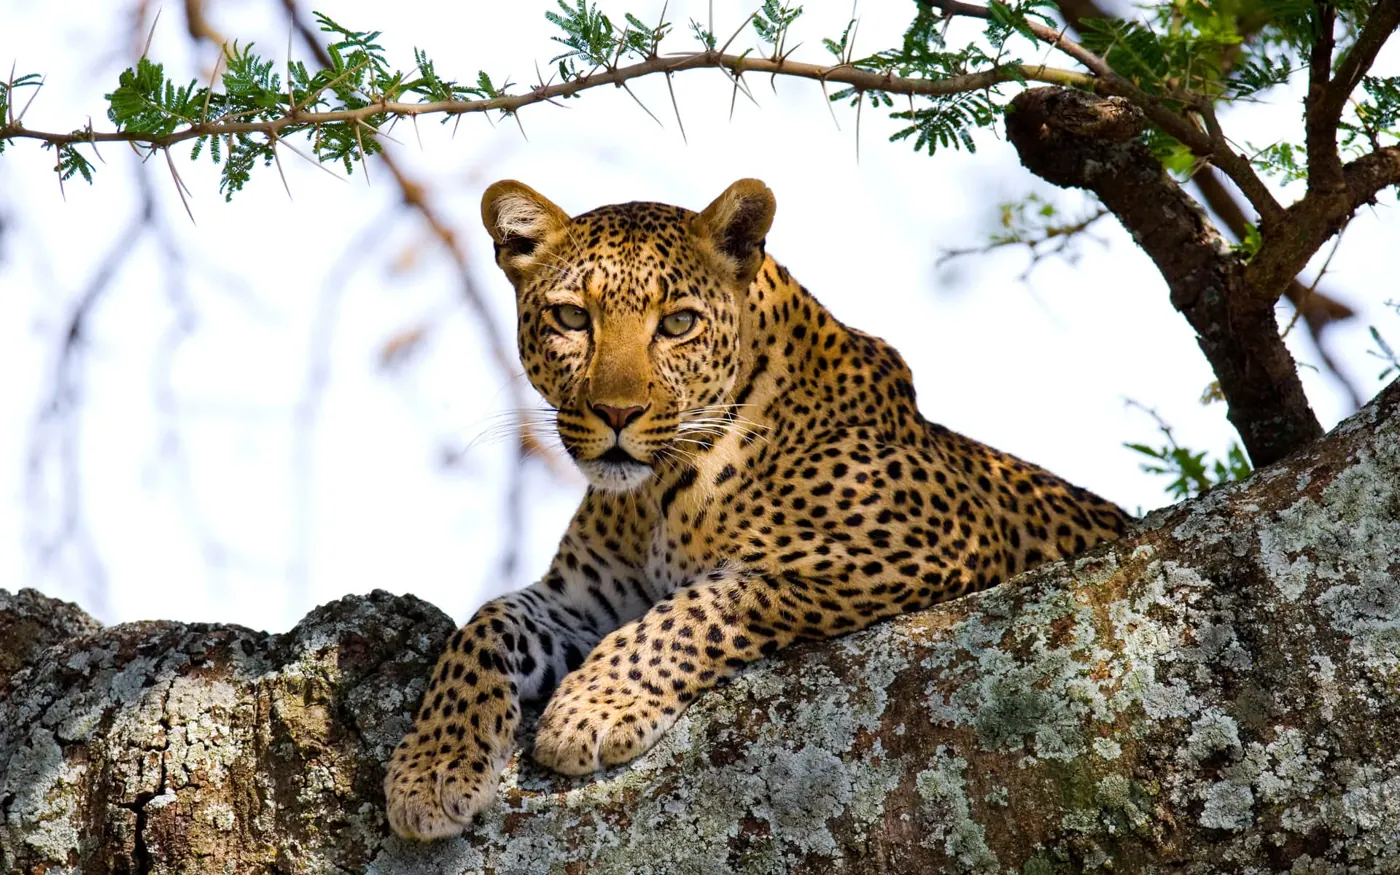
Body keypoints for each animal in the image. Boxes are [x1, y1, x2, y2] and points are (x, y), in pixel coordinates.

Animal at [384, 178, 1132, 839]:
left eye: (678, 323)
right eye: (572, 317)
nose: (617, 414)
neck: (654, 497)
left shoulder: (924, 542)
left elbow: (703, 603)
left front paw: (590, 709)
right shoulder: (584, 601)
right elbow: (485, 625)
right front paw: (432, 768)